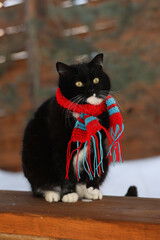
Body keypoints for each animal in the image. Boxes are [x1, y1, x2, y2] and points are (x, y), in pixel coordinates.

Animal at [21, 54, 136, 202]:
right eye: (78, 83)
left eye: (96, 79)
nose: (91, 90)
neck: (85, 112)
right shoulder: (60, 147)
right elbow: (65, 172)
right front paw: (69, 194)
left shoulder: (97, 143)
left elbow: (94, 167)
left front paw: (93, 189)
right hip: (33, 163)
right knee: (39, 186)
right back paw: (51, 193)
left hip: (105, 159)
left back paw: (86, 191)